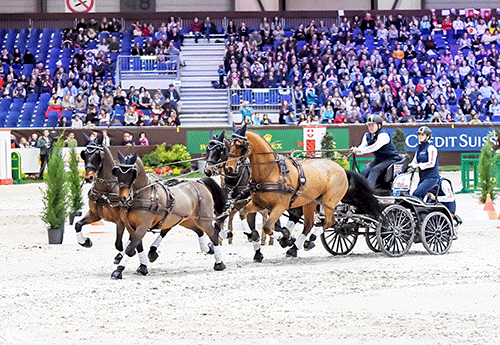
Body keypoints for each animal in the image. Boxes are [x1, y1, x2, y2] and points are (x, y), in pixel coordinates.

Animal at [225, 125, 380, 260]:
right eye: (229, 145)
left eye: (239, 145)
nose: (229, 168)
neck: (271, 172)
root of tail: (341, 169)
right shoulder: (258, 204)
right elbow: (243, 213)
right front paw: (260, 237)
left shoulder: (280, 206)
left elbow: (268, 227)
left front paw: (284, 237)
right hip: (310, 202)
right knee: (309, 224)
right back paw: (296, 247)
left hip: (329, 202)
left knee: (330, 222)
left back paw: (309, 240)